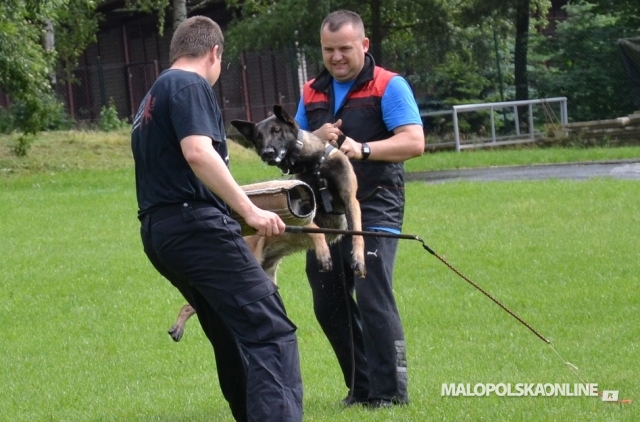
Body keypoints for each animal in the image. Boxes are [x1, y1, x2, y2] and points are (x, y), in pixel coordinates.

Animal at [168, 104, 364, 342]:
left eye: (277, 131)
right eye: (258, 137)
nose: (267, 153)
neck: (315, 164)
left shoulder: (350, 199)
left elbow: (358, 234)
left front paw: (359, 259)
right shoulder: (304, 208)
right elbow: (315, 228)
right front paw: (323, 252)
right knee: (191, 305)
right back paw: (178, 326)